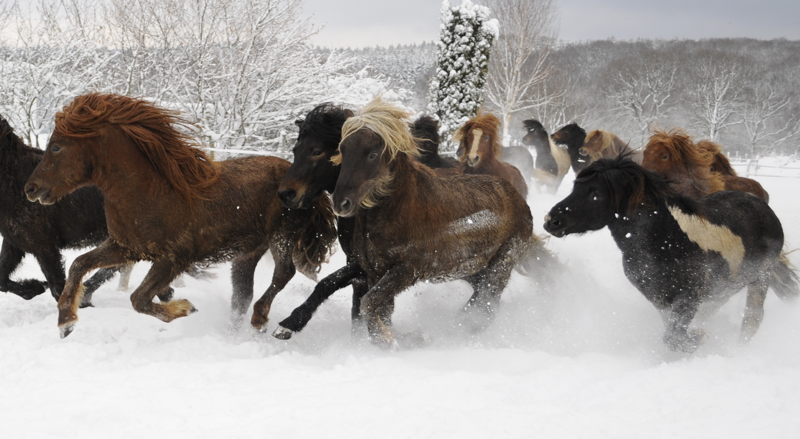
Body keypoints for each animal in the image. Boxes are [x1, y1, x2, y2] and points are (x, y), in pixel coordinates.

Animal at [24, 93, 338, 340]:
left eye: (56, 146)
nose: (30, 189)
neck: (150, 191)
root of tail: (302, 182)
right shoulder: (127, 248)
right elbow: (79, 264)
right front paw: (66, 322)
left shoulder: (173, 258)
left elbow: (138, 298)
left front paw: (185, 307)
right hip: (248, 251)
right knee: (242, 295)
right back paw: (232, 335)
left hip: (282, 237)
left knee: (283, 274)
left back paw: (262, 319)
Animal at [540, 158, 796, 354]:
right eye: (575, 187)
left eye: (596, 194)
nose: (552, 220)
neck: (665, 241)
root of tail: (764, 207)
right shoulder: (660, 299)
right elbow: (671, 333)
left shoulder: (688, 297)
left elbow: (673, 337)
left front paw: (698, 338)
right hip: (726, 287)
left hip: (760, 277)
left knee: (753, 317)